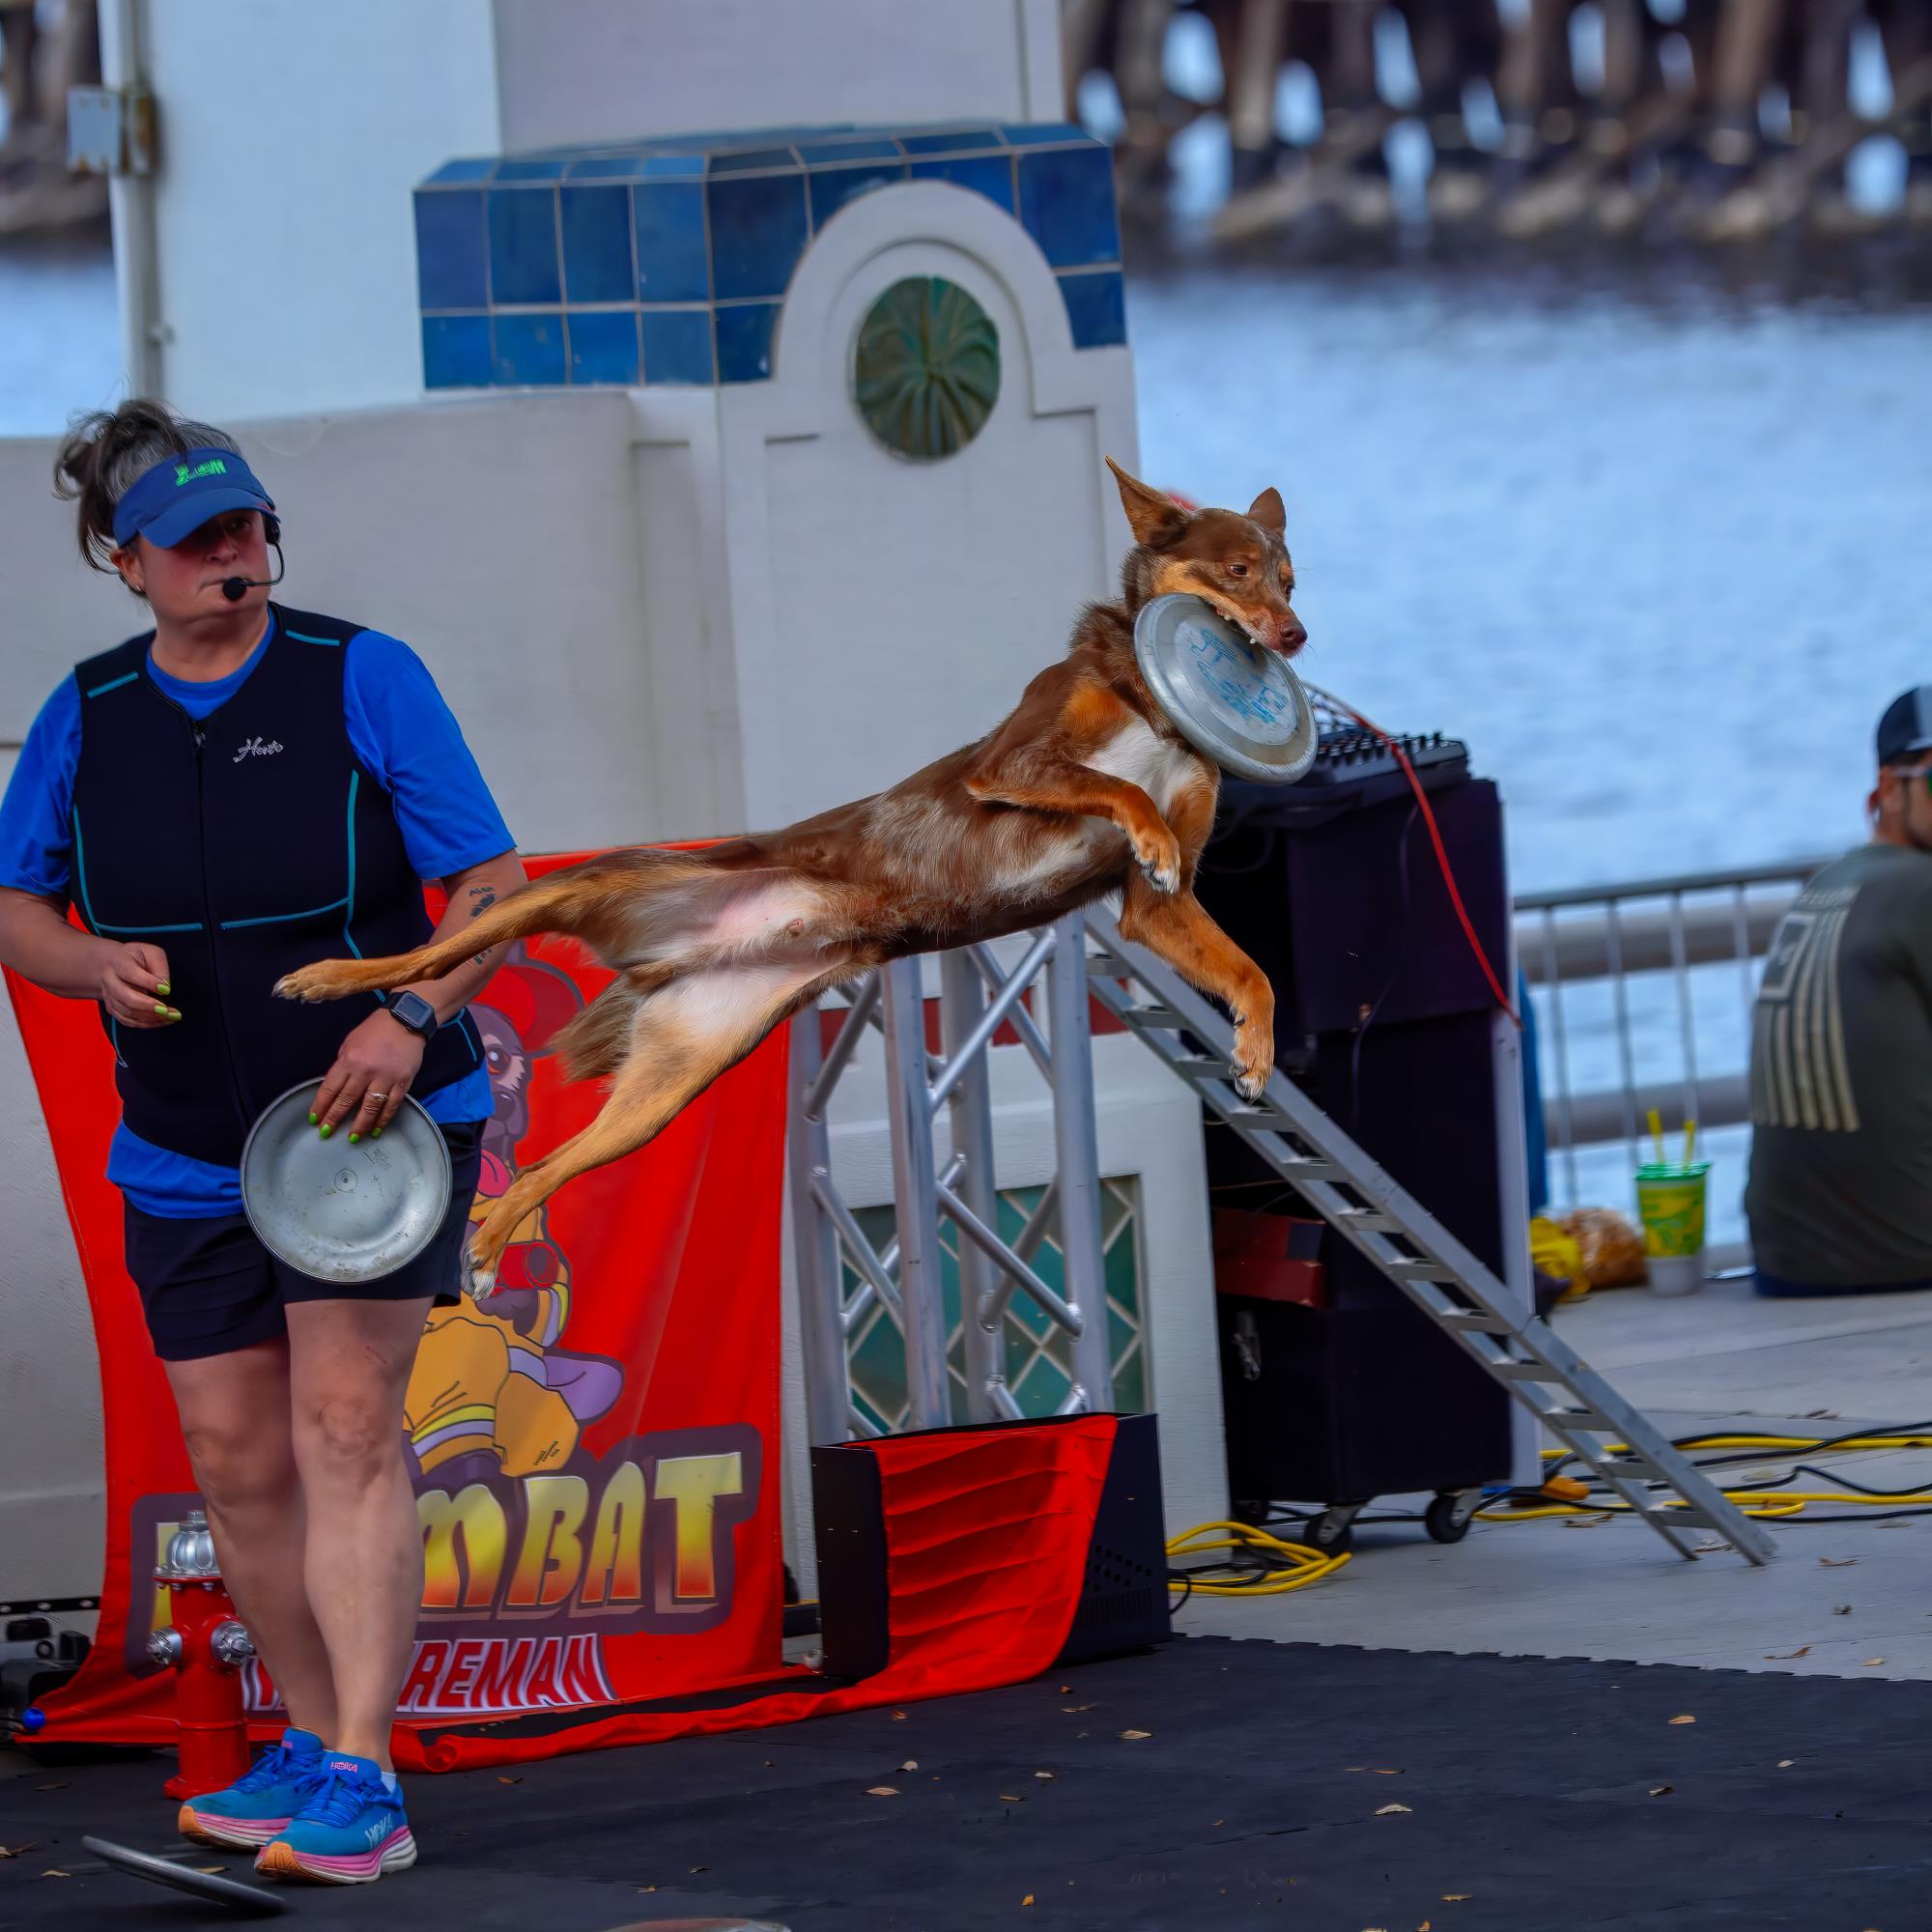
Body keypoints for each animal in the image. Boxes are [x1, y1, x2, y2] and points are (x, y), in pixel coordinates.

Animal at [277, 460, 1307, 1298]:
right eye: (1236, 571)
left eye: (1290, 577)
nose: (1295, 635)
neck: (1152, 707)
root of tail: (682, 955)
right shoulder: (1010, 766)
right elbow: (1116, 788)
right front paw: (1143, 823)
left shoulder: (1150, 911)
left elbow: (1251, 969)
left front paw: (1254, 1051)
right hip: (570, 889)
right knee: (431, 955)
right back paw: (326, 979)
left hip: (669, 1086)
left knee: (538, 1173)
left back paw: (489, 1249)